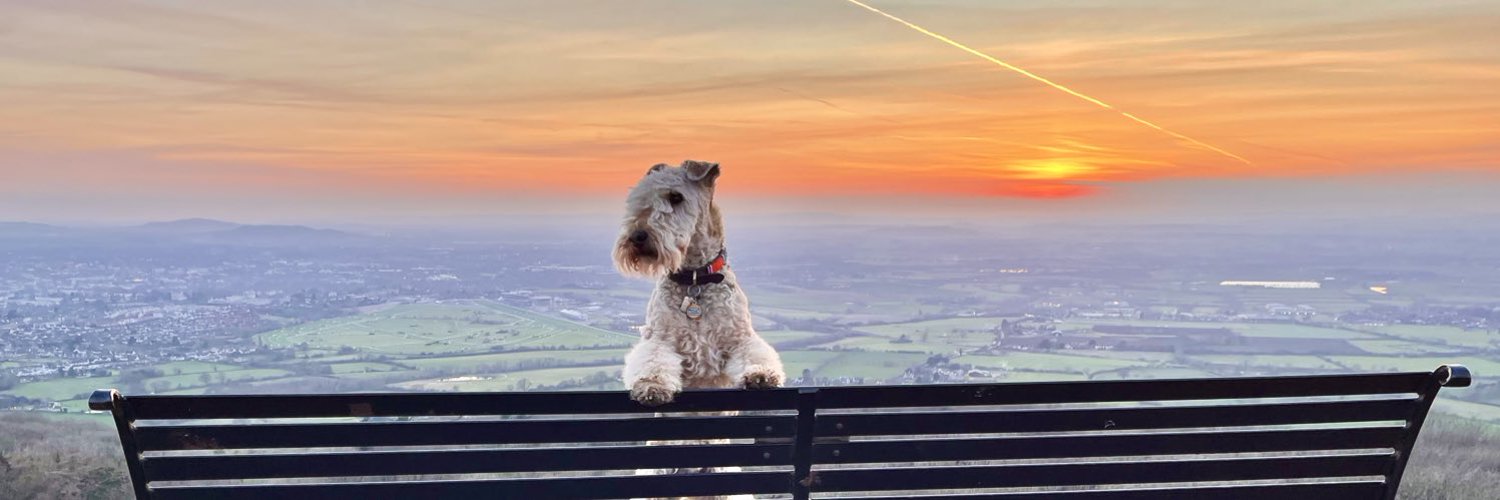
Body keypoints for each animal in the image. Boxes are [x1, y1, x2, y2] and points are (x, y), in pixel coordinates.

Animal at [615, 159, 792, 405]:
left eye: (676, 197)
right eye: (640, 196)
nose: (637, 236)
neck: (695, 278)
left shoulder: (740, 337)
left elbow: (754, 354)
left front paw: (761, 375)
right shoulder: (659, 337)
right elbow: (653, 360)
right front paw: (652, 385)